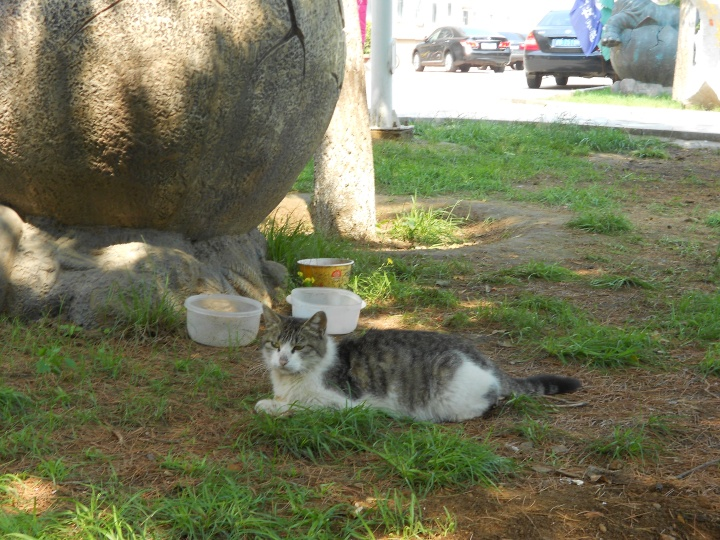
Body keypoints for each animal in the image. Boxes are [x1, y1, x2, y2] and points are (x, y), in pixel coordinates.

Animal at [256, 308, 584, 422]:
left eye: (298, 347)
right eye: (275, 345)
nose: (282, 359)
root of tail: (486, 361)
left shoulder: (342, 403)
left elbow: (301, 405)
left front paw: (269, 406)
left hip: (449, 390)